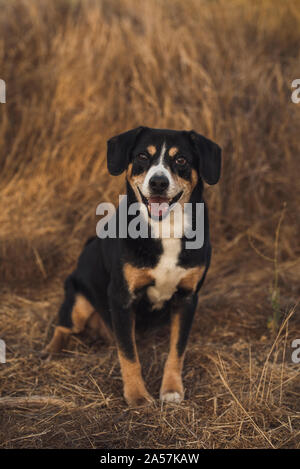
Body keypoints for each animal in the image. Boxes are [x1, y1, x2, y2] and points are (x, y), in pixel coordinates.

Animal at [45, 126, 223, 404]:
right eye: (142, 156)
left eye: (181, 160)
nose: (158, 182)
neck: (165, 229)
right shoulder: (121, 297)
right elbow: (129, 355)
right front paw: (138, 396)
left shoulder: (187, 298)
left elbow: (177, 350)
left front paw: (171, 389)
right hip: (77, 300)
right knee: (64, 325)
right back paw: (51, 351)